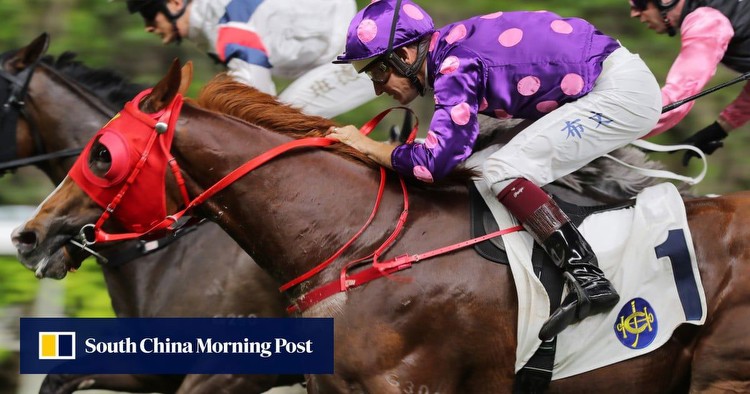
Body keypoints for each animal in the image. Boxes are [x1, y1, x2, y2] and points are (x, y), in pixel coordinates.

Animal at [2, 33, 300, 394]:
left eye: (103, 155)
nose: (25, 237)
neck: (166, 255)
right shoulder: (152, 367)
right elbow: (58, 377)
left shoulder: (231, 371)